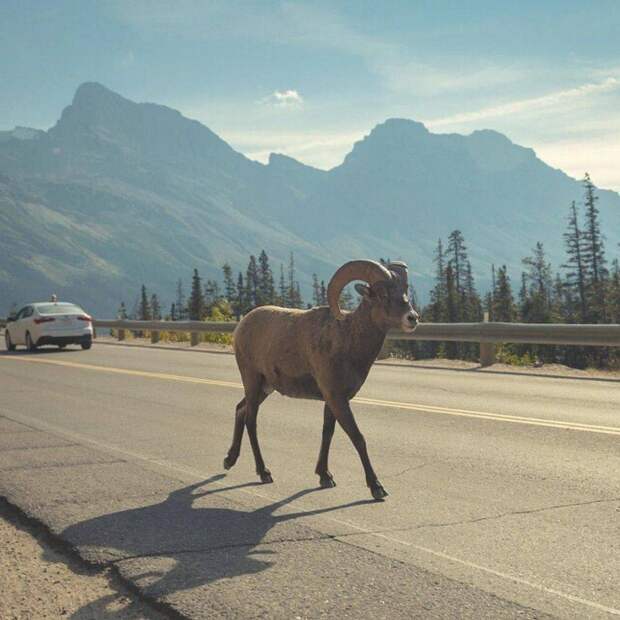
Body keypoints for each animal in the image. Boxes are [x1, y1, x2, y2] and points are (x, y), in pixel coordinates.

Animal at [225, 260, 418, 502]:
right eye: (382, 293)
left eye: (405, 289)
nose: (412, 318)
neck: (348, 341)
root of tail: (241, 326)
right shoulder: (337, 398)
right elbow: (358, 437)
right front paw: (376, 488)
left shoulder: (331, 400)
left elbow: (328, 433)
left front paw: (324, 476)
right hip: (252, 381)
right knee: (251, 420)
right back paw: (264, 472)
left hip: (264, 389)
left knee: (240, 409)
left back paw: (229, 460)